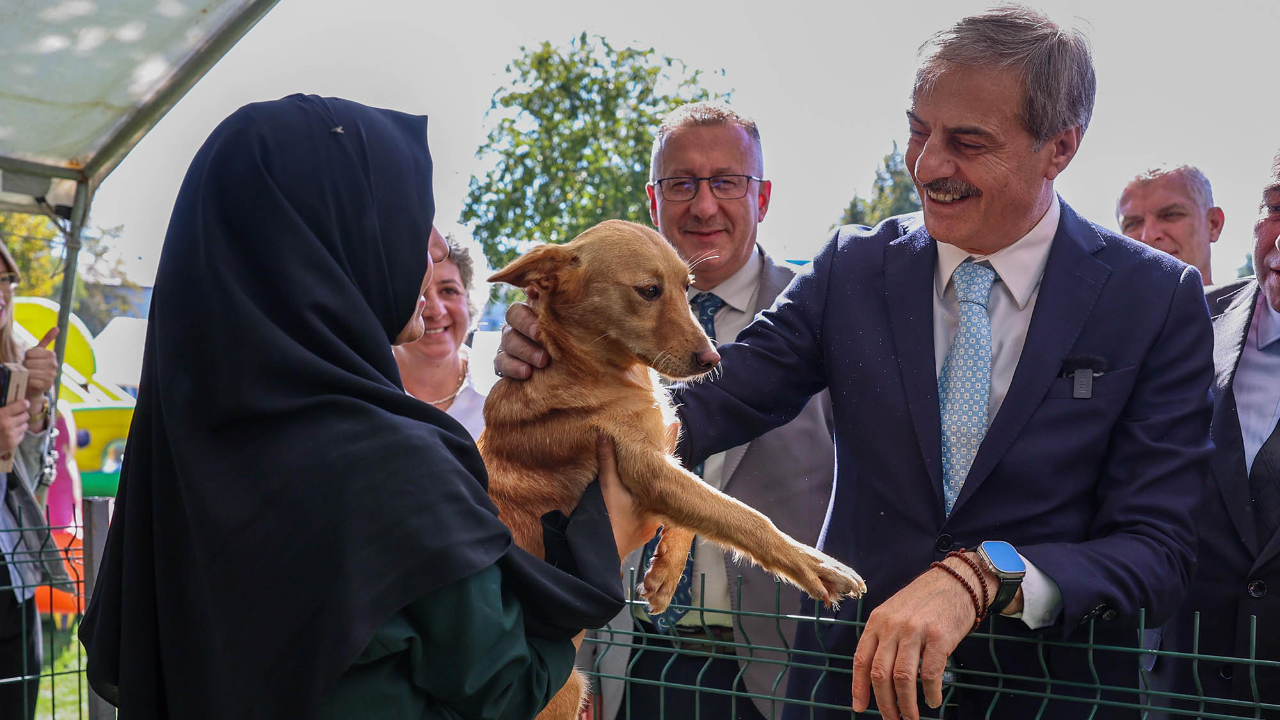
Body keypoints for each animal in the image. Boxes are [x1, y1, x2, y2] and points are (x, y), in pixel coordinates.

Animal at [476, 219, 865, 717]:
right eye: (648, 291)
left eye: (687, 286)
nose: (713, 360)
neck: (584, 365)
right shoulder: (647, 470)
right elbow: (742, 515)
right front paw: (816, 563)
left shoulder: (664, 458)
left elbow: (700, 510)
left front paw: (664, 575)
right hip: (569, 690)